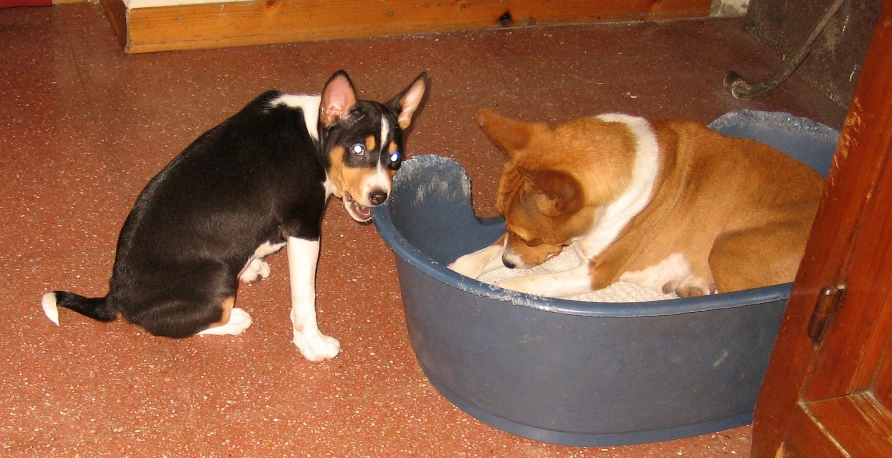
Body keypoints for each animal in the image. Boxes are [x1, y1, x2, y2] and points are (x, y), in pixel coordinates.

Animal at [450, 109, 824, 298]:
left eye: (531, 237)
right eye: (503, 220)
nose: (509, 263)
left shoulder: (596, 272)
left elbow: (527, 283)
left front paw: (500, 285)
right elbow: (484, 253)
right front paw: (460, 270)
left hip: (727, 247)